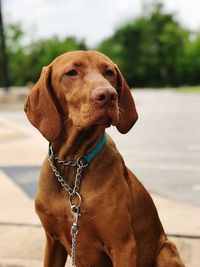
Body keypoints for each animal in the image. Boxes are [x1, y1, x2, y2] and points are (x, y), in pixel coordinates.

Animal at [24, 50, 185, 267]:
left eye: (109, 72)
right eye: (71, 72)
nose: (108, 95)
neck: (73, 164)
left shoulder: (122, 245)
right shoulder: (52, 241)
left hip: (166, 250)